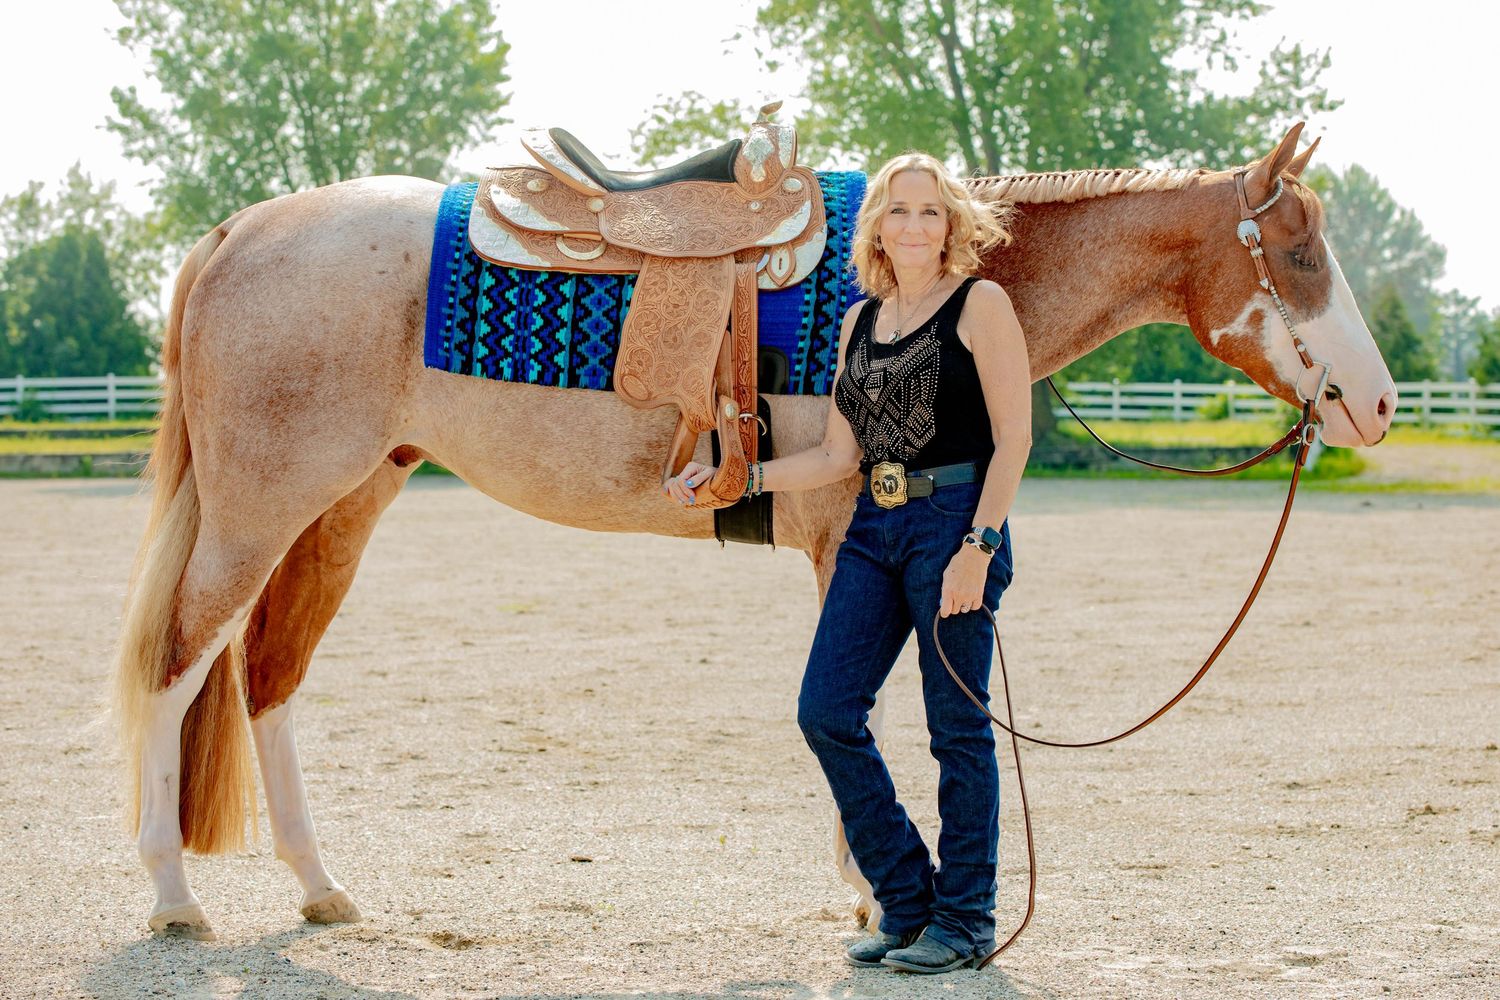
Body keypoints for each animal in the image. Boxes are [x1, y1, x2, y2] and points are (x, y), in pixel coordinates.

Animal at [112, 123, 1396, 940]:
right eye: (1297, 252)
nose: (1377, 404)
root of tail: (235, 233)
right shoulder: (846, 550)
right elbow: (856, 706)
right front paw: (877, 895)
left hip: (339, 508)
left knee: (267, 675)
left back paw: (320, 886)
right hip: (261, 510)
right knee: (178, 669)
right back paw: (174, 898)